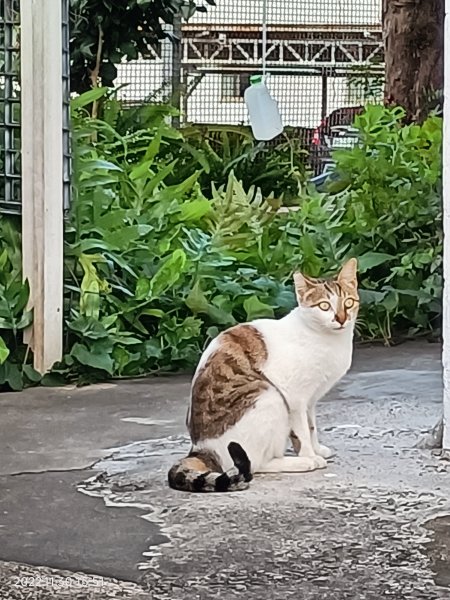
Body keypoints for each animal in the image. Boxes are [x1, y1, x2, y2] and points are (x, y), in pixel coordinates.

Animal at [169, 258, 358, 492]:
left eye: (348, 302)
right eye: (324, 306)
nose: (341, 318)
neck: (328, 340)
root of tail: (200, 449)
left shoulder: (310, 401)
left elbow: (311, 426)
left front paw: (316, 448)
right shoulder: (295, 398)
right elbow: (302, 431)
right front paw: (309, 455)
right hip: (269, 396)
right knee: (255, 464)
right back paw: (300, 462)